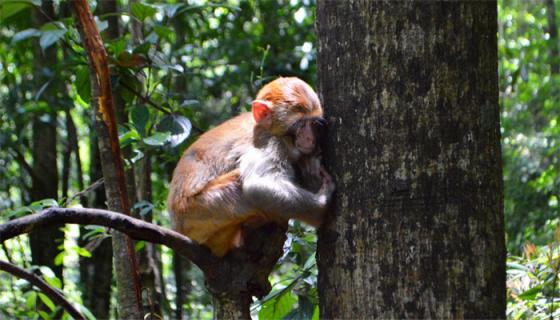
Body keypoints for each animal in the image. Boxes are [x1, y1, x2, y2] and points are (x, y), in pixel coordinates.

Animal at [166, 78, 332, 258]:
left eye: (313, 123)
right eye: (300, 124)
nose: (309, 138)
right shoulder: (270, 143)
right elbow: (257, 185)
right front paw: (323, 206)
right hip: (200, 211)